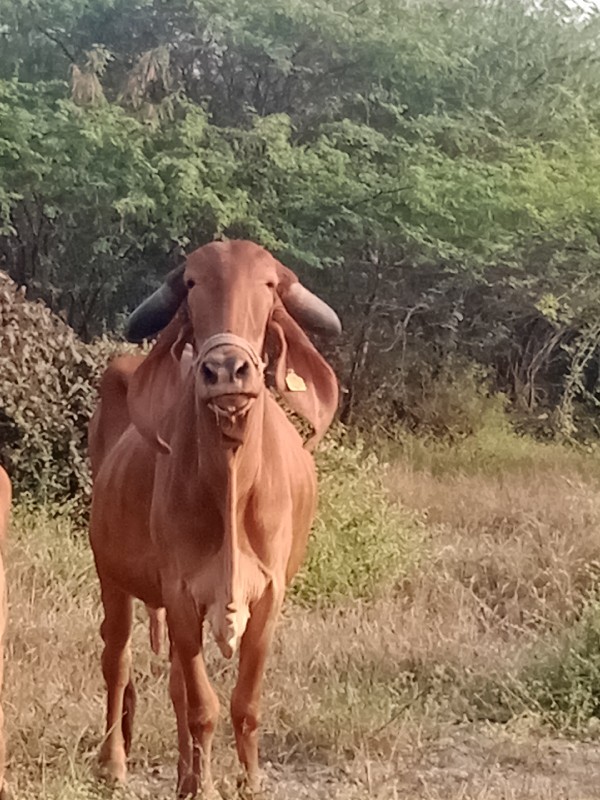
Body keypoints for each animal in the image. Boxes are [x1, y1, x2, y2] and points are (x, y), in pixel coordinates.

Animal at [89, 241, 342, 796]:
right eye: (191, 284)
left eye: (269, 285)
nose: (227, 371)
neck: (230, 482)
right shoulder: (181, 594)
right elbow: (202, 706)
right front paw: (202, 786)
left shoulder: (269, 597)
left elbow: (243, 705)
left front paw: (247, 782)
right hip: (111, 576)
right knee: (117, 660)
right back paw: (114, 763)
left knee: (172, 686)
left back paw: (184, 773)